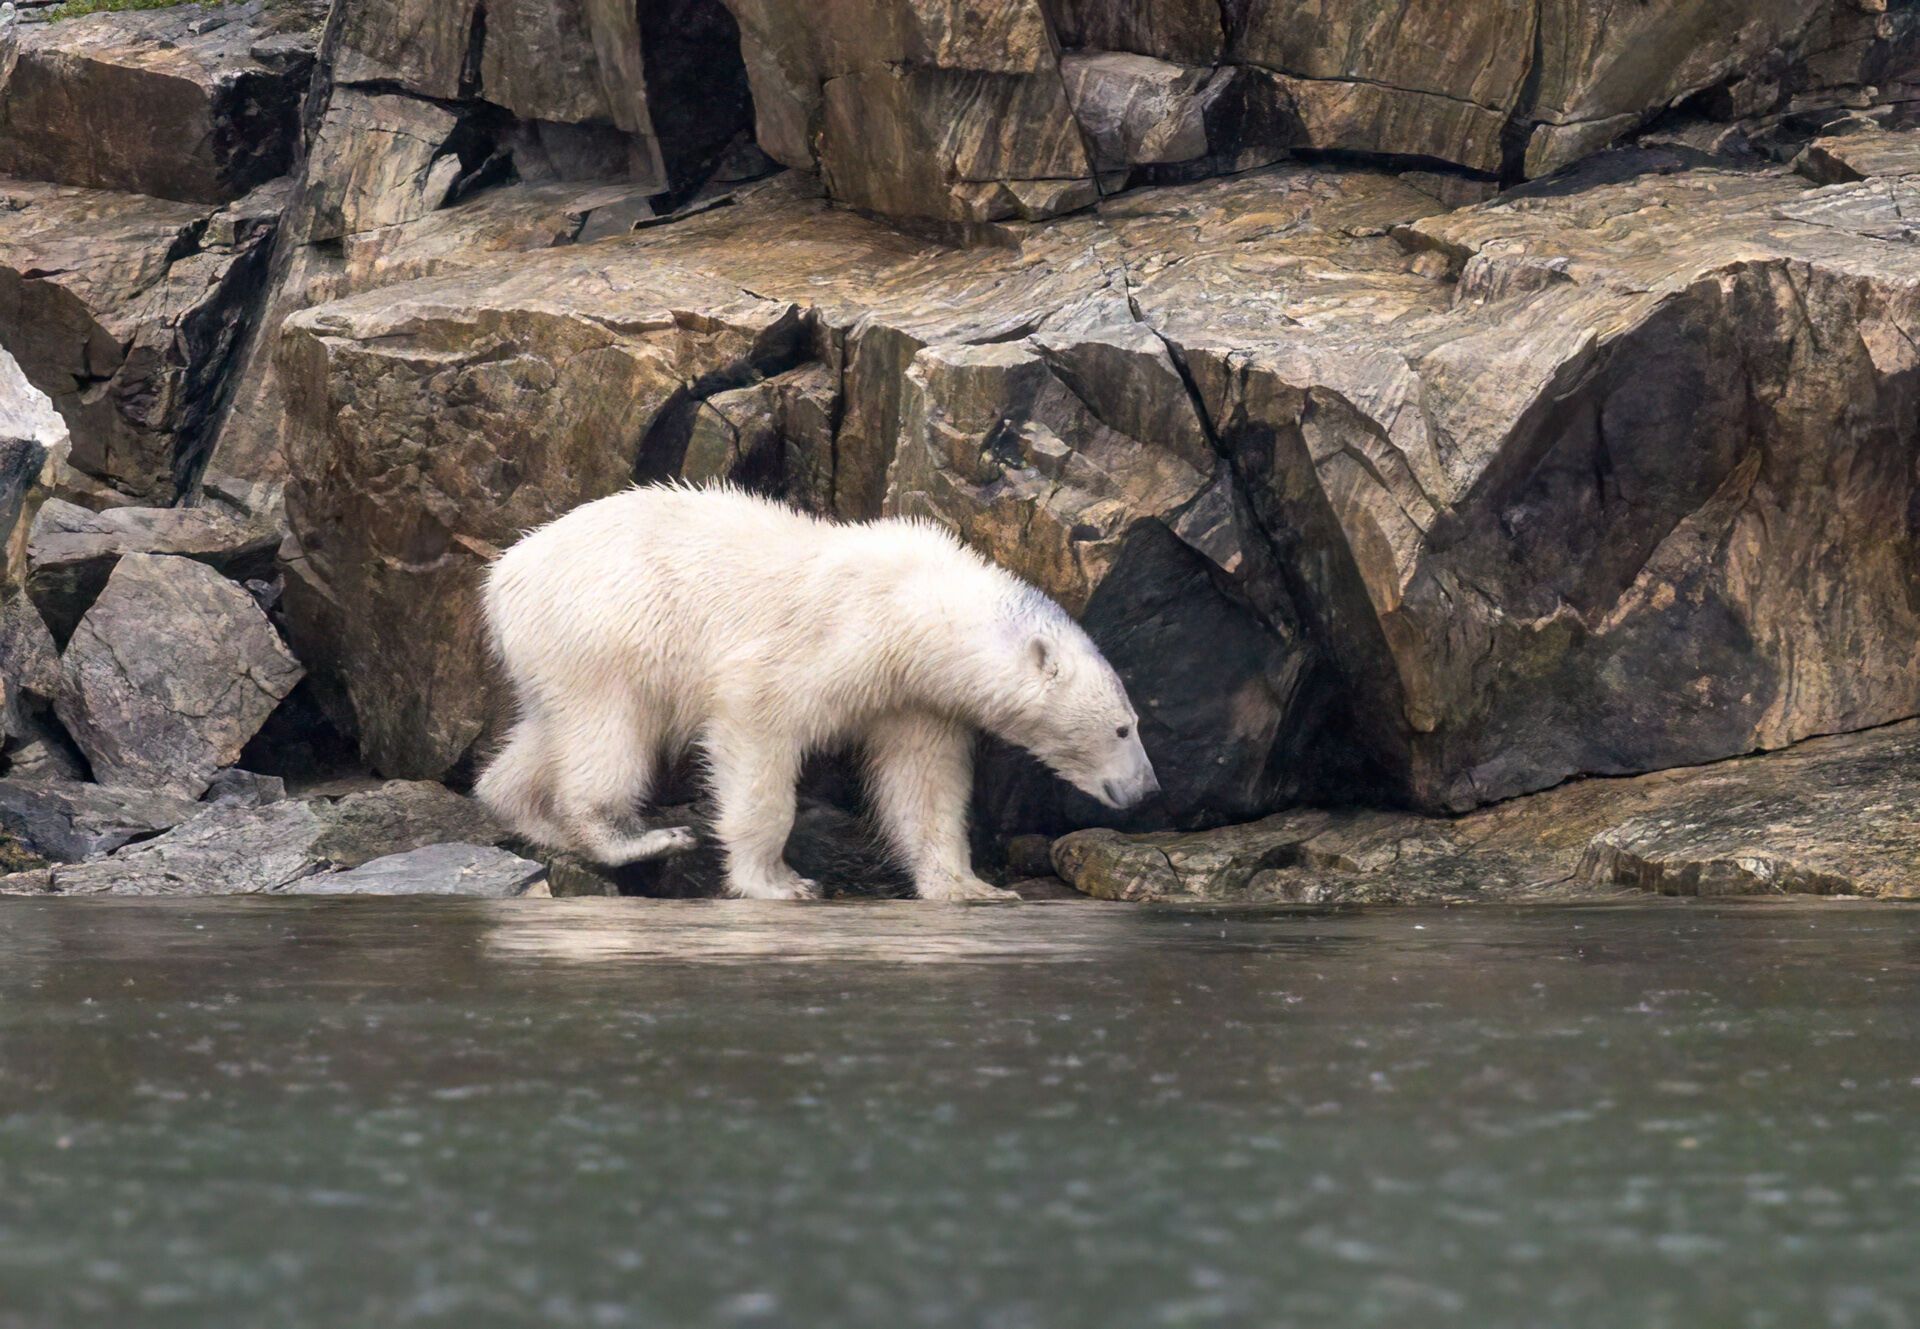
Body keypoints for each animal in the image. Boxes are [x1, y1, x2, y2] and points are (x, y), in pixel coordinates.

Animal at [474, 484, 1159, 901]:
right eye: (1124, 726)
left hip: (552, 652)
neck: (914, 608)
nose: (1149, 788)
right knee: (608, 733)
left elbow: (925, 784)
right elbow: (757, 724)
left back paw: (531, 815)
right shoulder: (832, 640)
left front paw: (972, 887)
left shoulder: (914, 697)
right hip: (608, 630)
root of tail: (502, 575)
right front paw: (779, 882)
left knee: (543, 733)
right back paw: (632, 837)